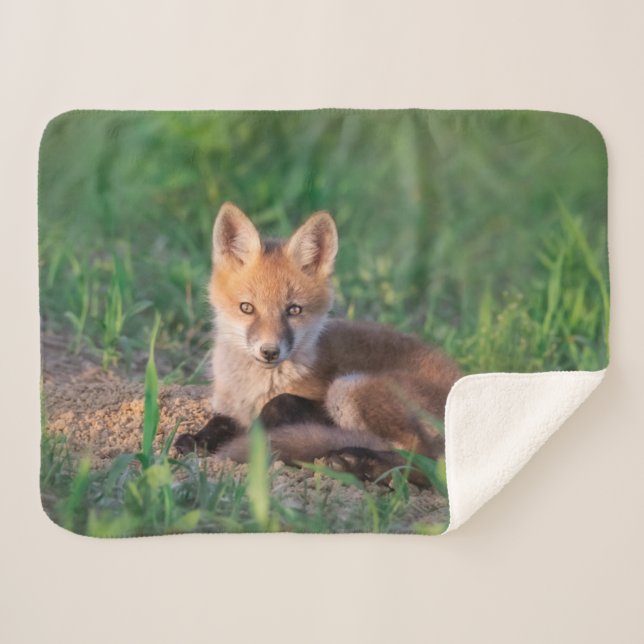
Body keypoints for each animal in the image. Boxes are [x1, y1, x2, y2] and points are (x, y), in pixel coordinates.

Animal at [174, 202, 462, 485]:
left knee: (427, 463)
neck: (254, 388)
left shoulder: (316, 403)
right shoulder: (230, 408)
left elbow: (280, 403)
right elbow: (220, 422)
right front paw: (198, 439)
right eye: (247, 308)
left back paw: (361, 463)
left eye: (294, 310)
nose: (270, 352)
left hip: (348, 387)